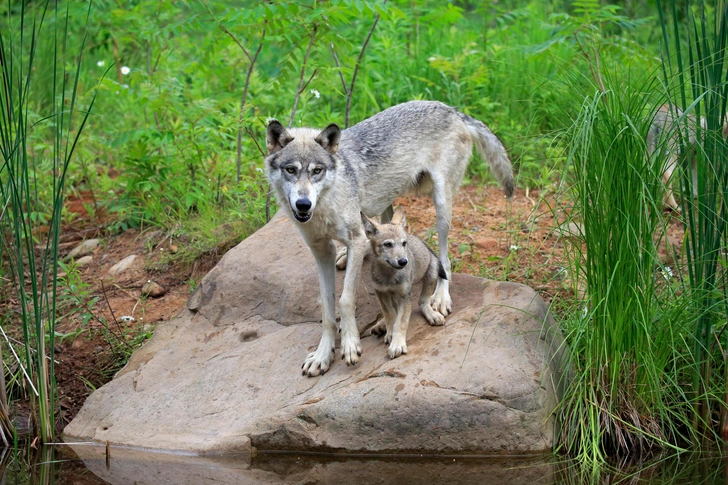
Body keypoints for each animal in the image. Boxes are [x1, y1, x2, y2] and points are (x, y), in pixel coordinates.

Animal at [362, 206, 446, 358]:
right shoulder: (381, 292)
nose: (403, 261)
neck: (389, 275)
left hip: (431, 273)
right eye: (387, 244)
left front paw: (397, 344)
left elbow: (400, 322)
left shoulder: (405, 295)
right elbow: (390, 314)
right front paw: (390, 332)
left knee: (423, 302)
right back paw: (381, 325)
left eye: (403, 244)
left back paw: (432, 314)